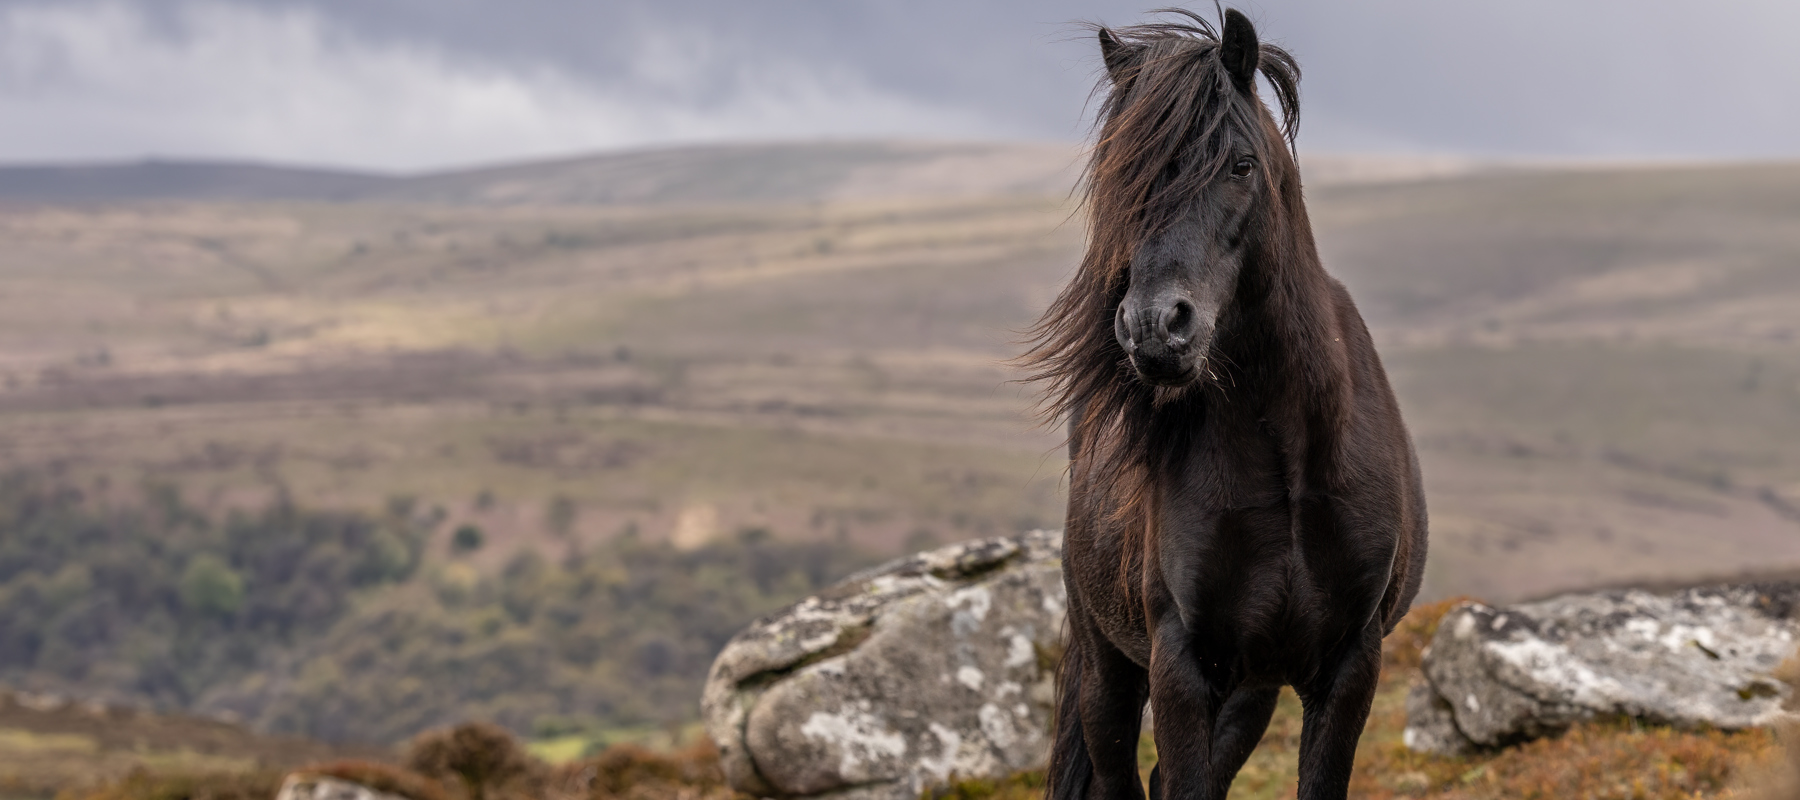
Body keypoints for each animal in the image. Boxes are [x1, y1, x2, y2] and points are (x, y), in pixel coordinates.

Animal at [1019, 8, 1428, 800]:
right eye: (1120, 172)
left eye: (1241, 164)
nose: (1154, 326)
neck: (1290, 459)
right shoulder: (1181, 666)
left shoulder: (1347, 667)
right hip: (1109, 667)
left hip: (1253, 690)